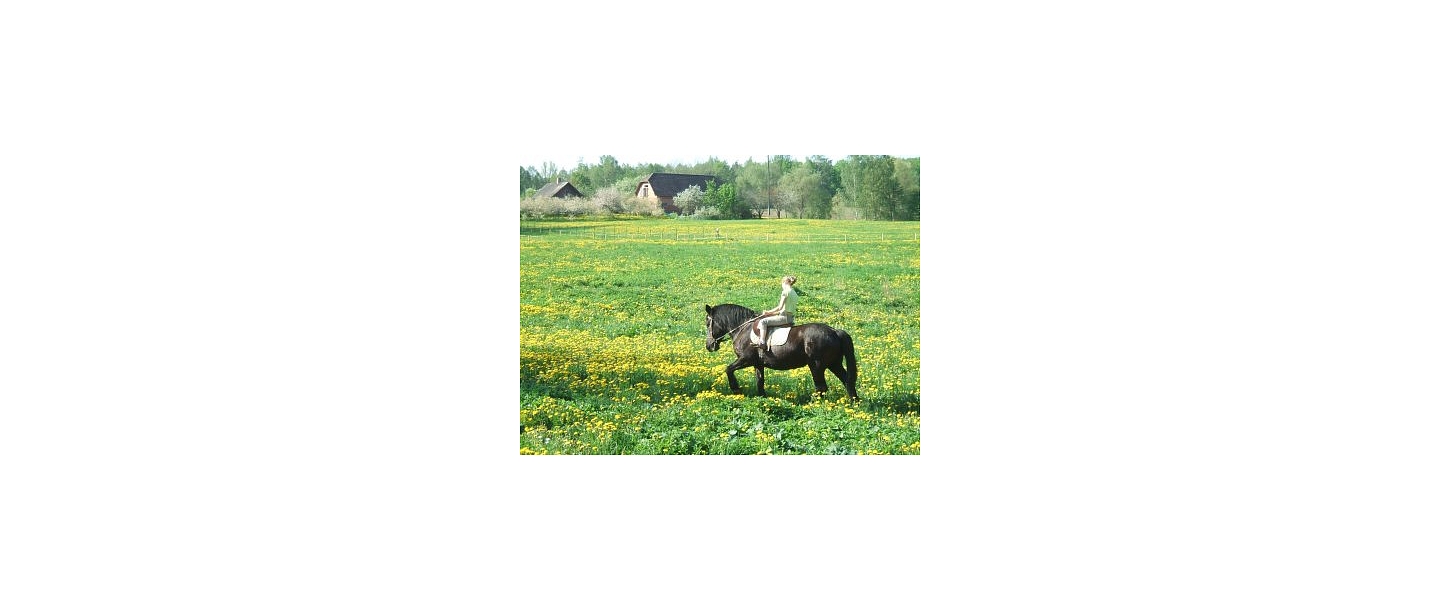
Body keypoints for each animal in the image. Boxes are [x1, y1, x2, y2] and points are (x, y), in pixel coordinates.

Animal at [703, 303, 858, 400]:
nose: (709, 346)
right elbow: (760, 382)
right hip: (834, 364)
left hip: (817, 366)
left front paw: (736, 389)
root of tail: (834, 331)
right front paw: (762, 398)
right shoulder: (758, 364)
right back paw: (854, 403)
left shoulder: (745, 359)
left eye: (707, 323)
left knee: (821, 387)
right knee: (847, 381)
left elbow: (728, 369)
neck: (743, 328)